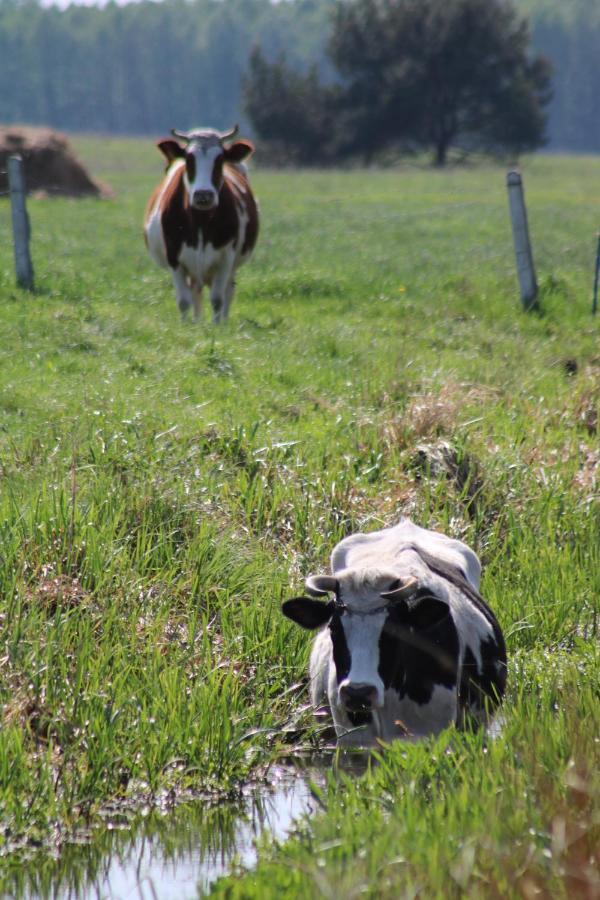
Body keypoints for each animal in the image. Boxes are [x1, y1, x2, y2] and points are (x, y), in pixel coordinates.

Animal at [145, 125, 260, 324]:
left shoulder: (226, 257)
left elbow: (217, 299)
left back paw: (223, 321)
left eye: (219, 159)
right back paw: (197, 321)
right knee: (195, 291)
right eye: (189, 158)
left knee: (228, 291)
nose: (203, 195)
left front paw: (217, 326)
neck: (200, 221)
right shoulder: (174, 258)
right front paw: (185, 326)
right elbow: (183, 300)